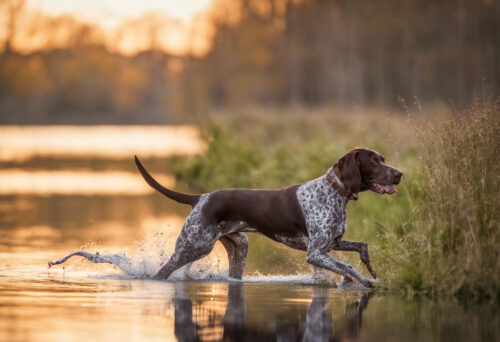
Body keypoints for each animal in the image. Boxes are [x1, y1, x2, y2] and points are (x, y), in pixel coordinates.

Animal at [134, 148, 402, 288]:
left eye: (383, 160)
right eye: (374, 161)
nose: (400, 174)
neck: (334, 193)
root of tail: (202, 197)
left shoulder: (332, 244)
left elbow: (362, 247)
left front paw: (371, 270)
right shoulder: (315, 253)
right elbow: (347, 266)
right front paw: (363, 281)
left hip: (239, 247)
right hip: (193, 246)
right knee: (163, 272)